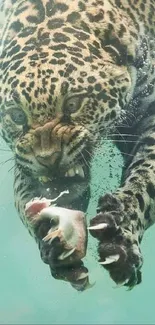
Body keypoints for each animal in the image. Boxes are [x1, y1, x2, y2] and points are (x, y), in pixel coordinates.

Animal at [0, 0, 155, 292]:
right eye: (17, 116)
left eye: (73, 104)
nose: (48, 158)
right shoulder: (22, 159)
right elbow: (24, 194)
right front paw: (52, 240)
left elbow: (144, 182)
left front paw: (121, 234)